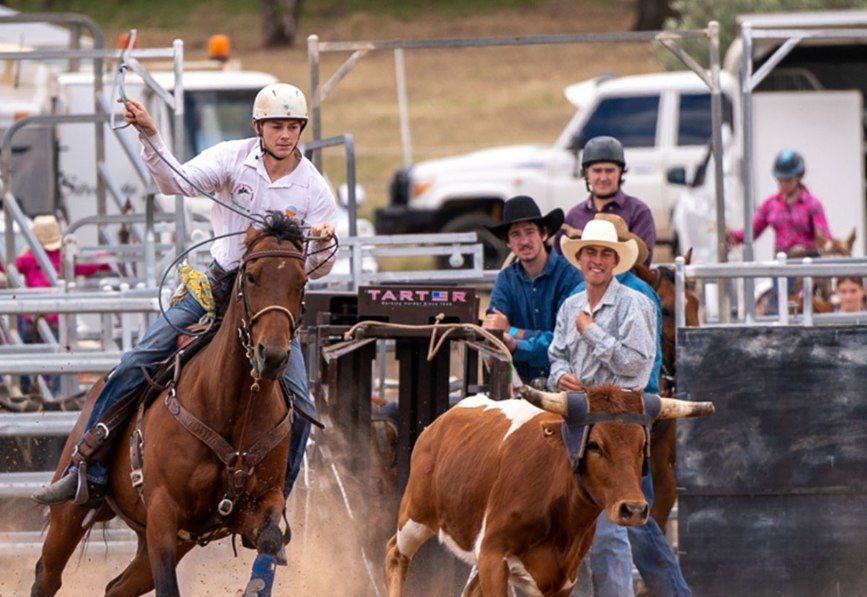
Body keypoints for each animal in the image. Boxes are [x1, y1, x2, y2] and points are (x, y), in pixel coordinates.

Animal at [31, 217, 308, 596]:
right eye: (251, 277)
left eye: (302, 281)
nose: (274, 356)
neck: (233, 405)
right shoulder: (162, 513)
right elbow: (168, 586)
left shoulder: (263, 502)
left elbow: (268, 540)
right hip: (70, 513)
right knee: (48, 574)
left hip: (172, 541)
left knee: (116, 588)